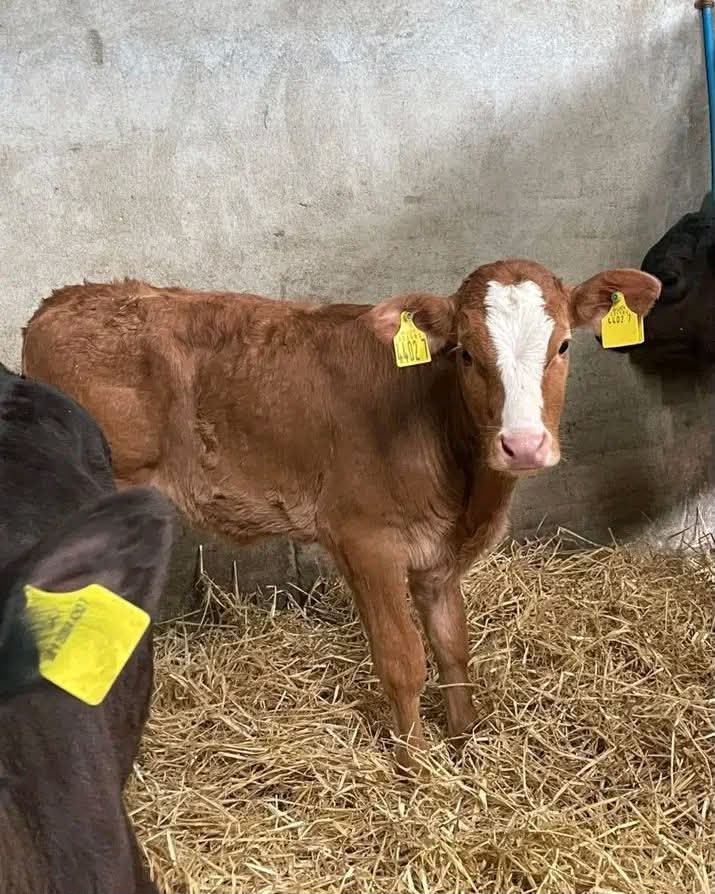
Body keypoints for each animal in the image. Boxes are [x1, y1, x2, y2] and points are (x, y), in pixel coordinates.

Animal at [22, 258, 661, 769]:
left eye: (564, 346)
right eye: (466, 354)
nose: (523, 445)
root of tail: (60, 301)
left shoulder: (438, 556)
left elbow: (453, 648)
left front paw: (466, 743)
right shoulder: (364, 540)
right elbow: (403, 660)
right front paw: (416, 769)